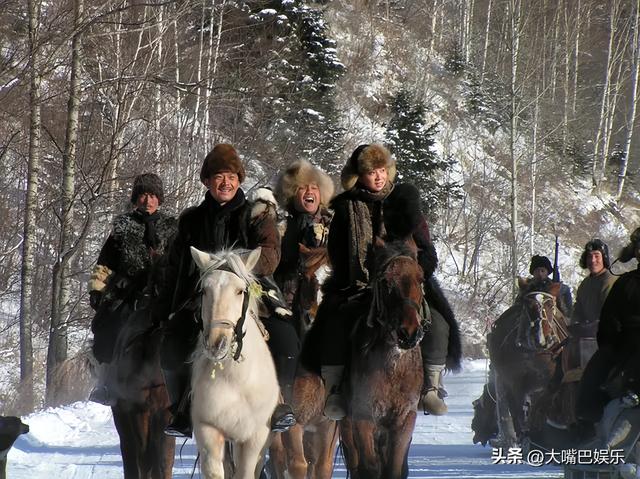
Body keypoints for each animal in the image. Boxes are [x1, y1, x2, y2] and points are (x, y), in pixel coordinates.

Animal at [190, 248, 280, 479]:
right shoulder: (208, 429)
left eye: (240, 291)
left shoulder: (253, 437)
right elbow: (215, 472)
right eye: (204, 291)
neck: (234, 381)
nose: (217, 344)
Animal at [340, 240, 424, 479]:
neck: (393, 371)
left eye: (421, 279)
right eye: (386, 281)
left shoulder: (404, 420)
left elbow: (394, 469)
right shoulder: (363, 418)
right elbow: (368, 468)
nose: (409, 333)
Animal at [488, 280, 568, 448]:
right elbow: (516, 412)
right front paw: (520, 437)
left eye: (550, 305)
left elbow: (538, 408)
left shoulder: (546, 384)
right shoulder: (512, 381)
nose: (542, 339)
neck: (531, 352)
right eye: (528, 305)